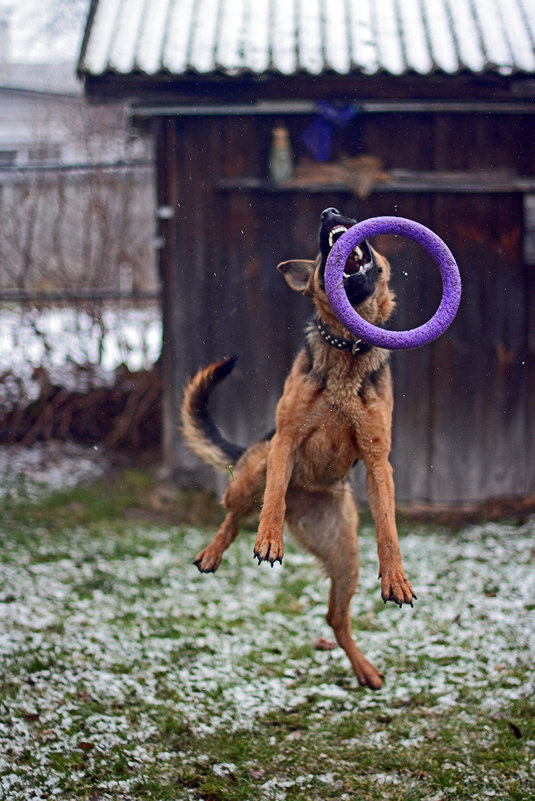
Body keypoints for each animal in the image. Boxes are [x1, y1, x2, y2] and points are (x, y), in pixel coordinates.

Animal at [182, 206, 416, 688]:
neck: (347, 345)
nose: (330, 212)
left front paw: (397, 579)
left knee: (335, 618)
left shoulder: (378, 460)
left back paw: (366, 670)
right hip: (253, 471)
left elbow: (388, 528)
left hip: (346, 559)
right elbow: (272, 499)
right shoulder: (287, 440)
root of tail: (305, 498)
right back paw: (215, 551)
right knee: (237, 512)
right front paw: (269, 540)